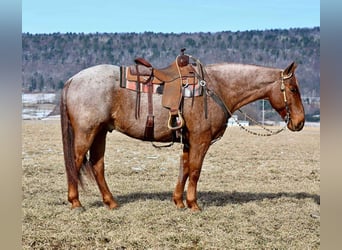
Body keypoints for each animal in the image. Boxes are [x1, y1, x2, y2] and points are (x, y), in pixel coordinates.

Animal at [59, 52, 304, 211]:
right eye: (293, 89)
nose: (300, 122)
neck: (216, 87)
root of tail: (72, 80)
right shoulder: (200, 139)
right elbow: (195, 170)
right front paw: (193, 204)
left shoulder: (188, 141)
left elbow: (184, 168)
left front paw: (178, 201)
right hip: (87, 132)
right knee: (75, 161)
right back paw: (76, 202)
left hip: (100, 132)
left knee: (97, 165)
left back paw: (111, 202)